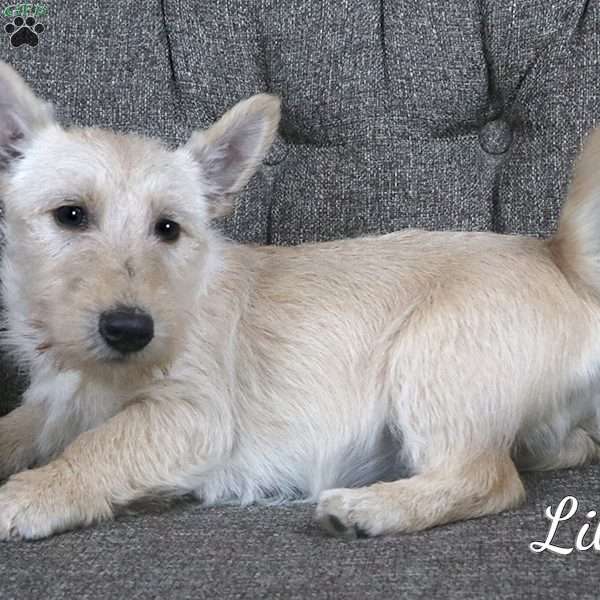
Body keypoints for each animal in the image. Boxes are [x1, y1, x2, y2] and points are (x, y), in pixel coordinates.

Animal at [0, 62, 600, 544]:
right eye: (70, 215)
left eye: (168, 229)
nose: (131, 329)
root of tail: (558, 260)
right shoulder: (49, 402)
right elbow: (18, 424)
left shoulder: (190, 414)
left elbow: (98, 445)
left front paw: (30, 492)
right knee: (564, 446)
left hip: (431, 361)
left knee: (487, 477)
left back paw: (368, 508)